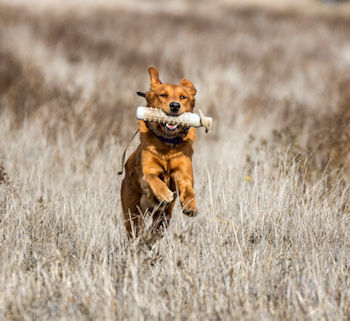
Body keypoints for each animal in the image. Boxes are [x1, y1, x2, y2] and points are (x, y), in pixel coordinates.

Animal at [120, 67, 197, 238]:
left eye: (183, 97)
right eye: (163, 95)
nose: (175, 105)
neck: (167, 144)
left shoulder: (184, 175)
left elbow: (189, 189)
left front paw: (191, 206)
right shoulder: (147, 172)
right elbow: (153, 178)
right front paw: (164, 194)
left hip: (164, 217)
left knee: (156, 228)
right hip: (132, 212)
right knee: (135, 230)